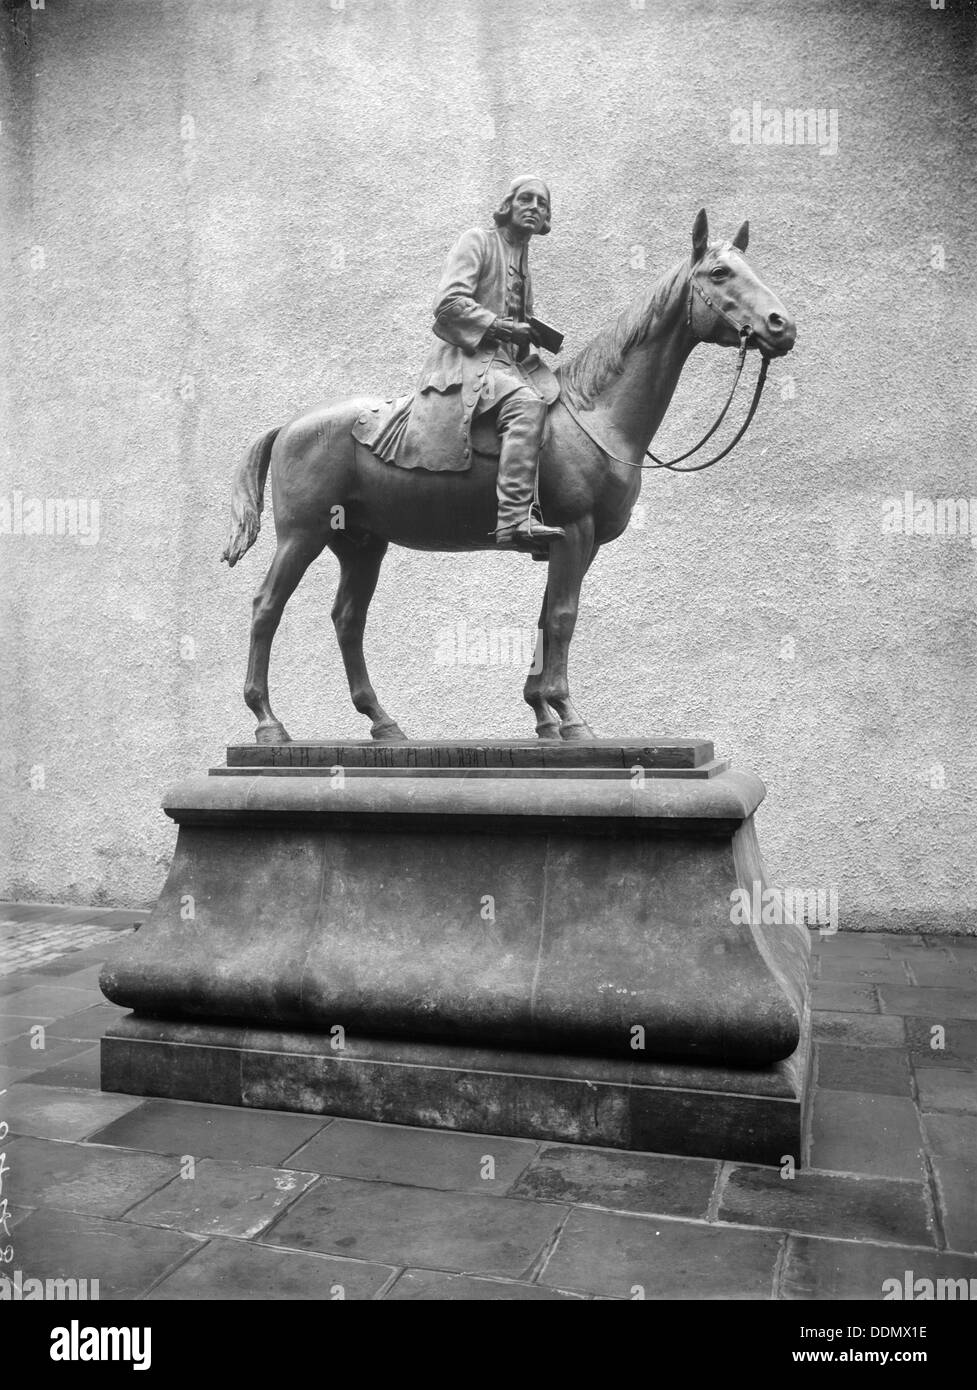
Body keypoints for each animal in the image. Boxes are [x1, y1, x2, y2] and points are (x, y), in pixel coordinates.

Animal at [222, 207, 794, 745]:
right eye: (720, 272)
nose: (781, 325)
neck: (596, 413)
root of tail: (290, 426)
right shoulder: (576, 531)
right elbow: (563, 617)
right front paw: (569, 716)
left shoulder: (574, 542)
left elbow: (546, 618)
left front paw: (543, 714)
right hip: (303, 536)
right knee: (267, 608)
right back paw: (268, 723)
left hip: (361, 546)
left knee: (348, 621)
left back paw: (382, 723)